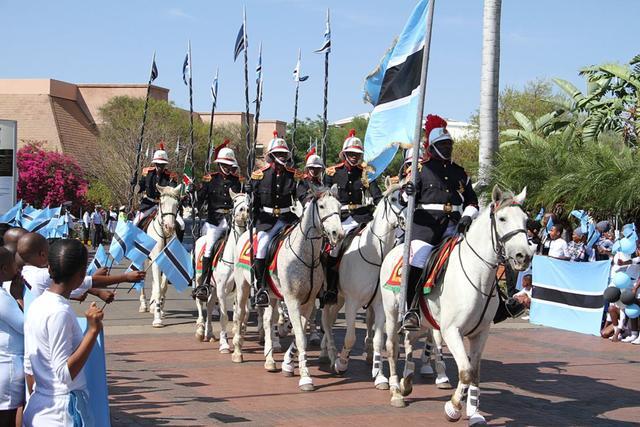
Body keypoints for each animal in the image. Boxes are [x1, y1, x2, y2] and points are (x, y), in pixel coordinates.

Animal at [138, 183, 182, 328]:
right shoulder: (156, 261)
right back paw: (144, 305)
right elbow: (158, 287)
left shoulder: (168, 262)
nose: (170, 227)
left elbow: (162, 287)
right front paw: (157, 318)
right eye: (161, 203)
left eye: (177, 204)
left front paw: (159, 307)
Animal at [194, 193, 249, 352]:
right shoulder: (222, 290)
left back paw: (210, 333)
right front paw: (224, 343)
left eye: (249, 200)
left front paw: (239, 334)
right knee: (200, 302)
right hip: (199, 280)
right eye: (235, 200)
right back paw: (200, 331)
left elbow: (241, 314)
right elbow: (224, 317)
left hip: (213, 288)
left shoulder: (241, 290)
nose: (245, 210)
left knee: (210, 304)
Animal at [232, 186, 344, 392]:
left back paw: (269, 360)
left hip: (272, 295)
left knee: (268, 321)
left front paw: (289, 364)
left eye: (340, 206)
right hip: (243, 287)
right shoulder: (292, 300)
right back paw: (237, 351)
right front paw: (306, 377)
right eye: (322, 206)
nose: (337, 234)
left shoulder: (308, 302)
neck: (306, 254)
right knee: (240, 314)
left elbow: (301, 334)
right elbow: (299, 336)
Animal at [320, 177, 404, 392]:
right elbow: (350, 337)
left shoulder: (380, 304)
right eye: (393, 199)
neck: (375, 254)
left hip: (339, 299)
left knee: (330, 321)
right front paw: (342, 363)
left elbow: (378, 339)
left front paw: (380, 376)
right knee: (326, 321)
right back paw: (330, 354)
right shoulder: (352, 302)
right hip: (332, 297)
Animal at [382, 187, 532, 424]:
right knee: (391, 346)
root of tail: (396, 251)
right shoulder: (452, 331)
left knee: (408, 341)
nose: (523, 256)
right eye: (502, 218)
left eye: (526, 220)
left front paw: (474, 412)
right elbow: (466, 371)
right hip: (391, 312)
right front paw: (453, 408)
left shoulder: (481, 332)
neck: (477, 273)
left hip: (422, 322)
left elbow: (475, 372)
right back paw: (396, 391)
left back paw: (407, 381)